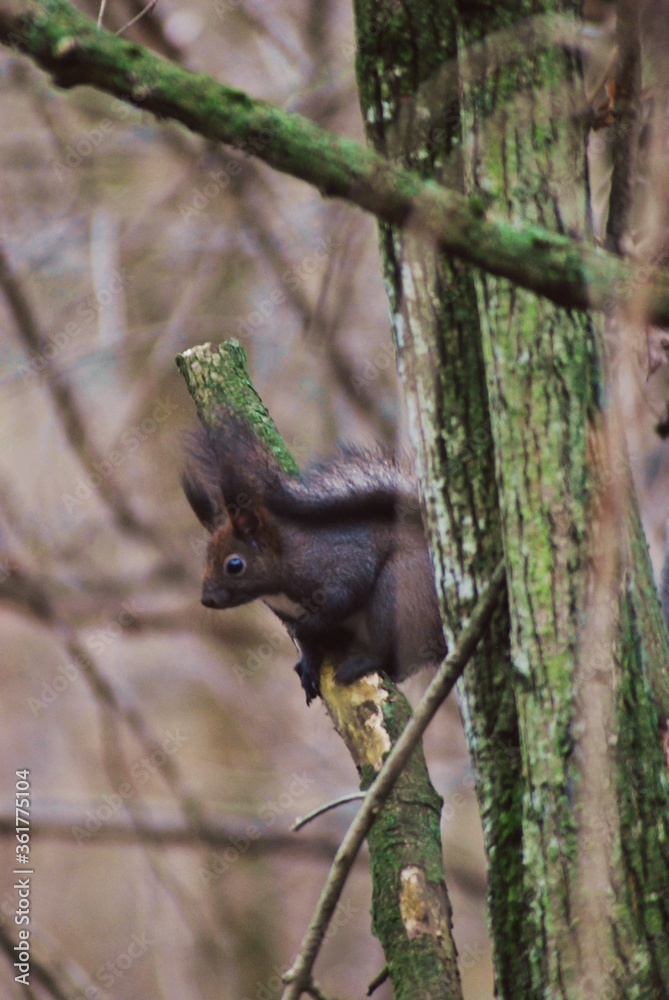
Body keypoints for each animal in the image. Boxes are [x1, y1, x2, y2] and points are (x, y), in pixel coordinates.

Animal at [183, 410, 447, 704]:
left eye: (234, 565)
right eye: (205, 557)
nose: (207, 599)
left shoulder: (337, 568)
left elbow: (341, 599)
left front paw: (307, 631)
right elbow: (308, 644)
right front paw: (308, 664)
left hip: (401, 592)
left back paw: (365, 661)